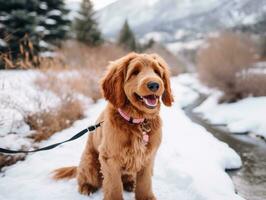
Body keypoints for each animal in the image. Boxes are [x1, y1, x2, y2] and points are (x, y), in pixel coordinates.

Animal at [52, 52, 175, 200]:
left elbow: (145, 183)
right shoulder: (110, 158)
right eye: (135, 72)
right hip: (90, 163)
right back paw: (86, 187)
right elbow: (114, 186)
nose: (154, 85)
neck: (137, 121)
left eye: (157, 72)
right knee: (84, 178)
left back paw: (130, 184)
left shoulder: (147, 158)